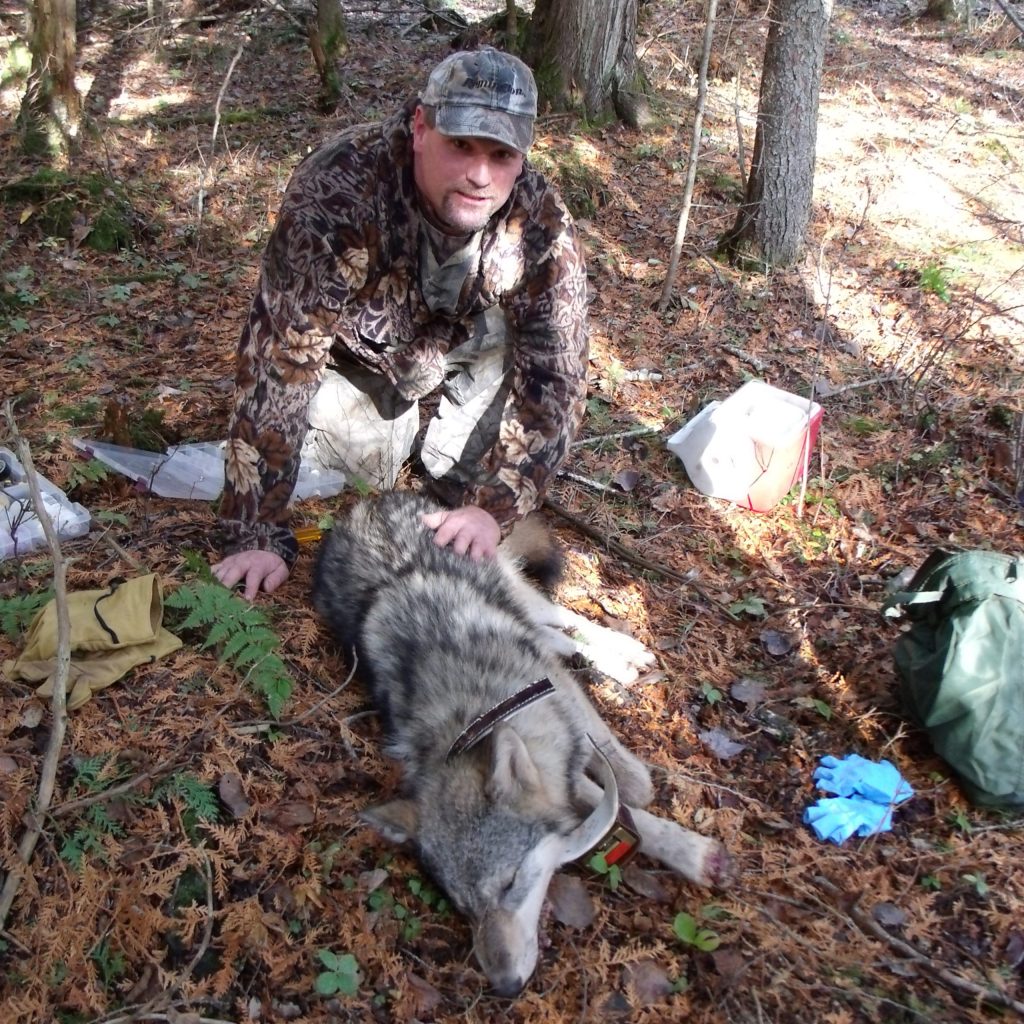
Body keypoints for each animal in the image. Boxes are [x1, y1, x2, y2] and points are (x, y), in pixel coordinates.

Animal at [312, 491, 732, 996]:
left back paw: (624, 654)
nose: (505, 985)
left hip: (518, 593)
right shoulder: (555, 753)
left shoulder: (557, 698)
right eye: (464, 907)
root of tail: (375, 500)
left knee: (562, 617)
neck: (472, 715)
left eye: (512, 884)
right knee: (554, 635)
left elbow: (614, 769)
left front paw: (654, 806)